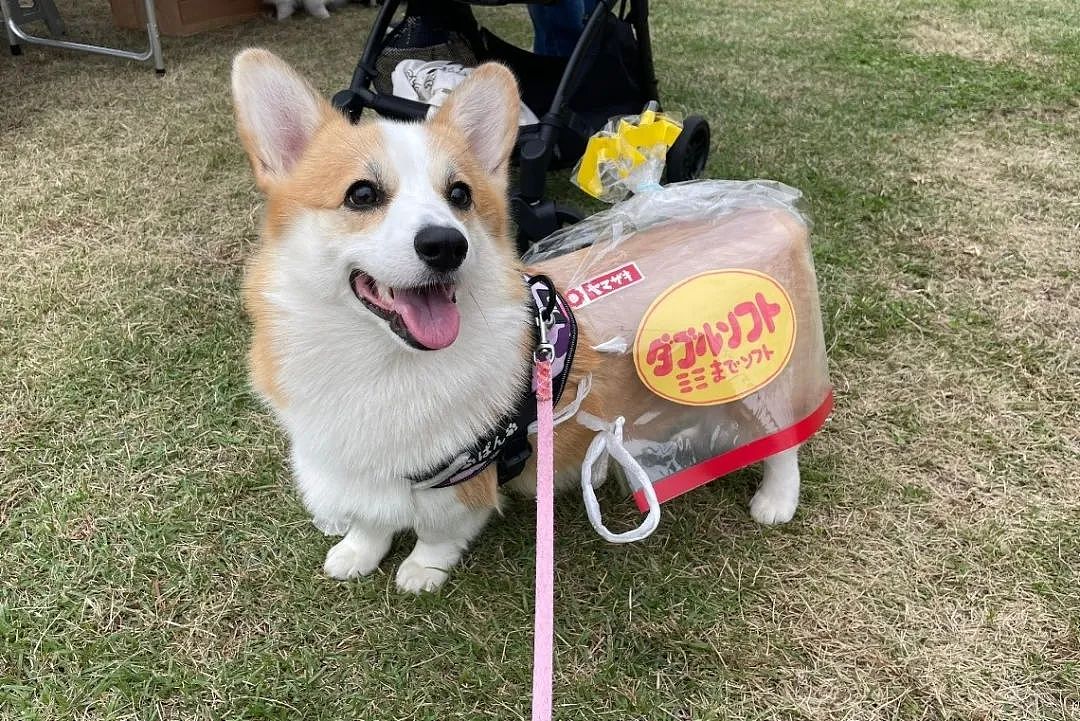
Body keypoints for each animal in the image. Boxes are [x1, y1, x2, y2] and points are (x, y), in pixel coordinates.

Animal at [230, 49, 803, 591]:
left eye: (459, 195)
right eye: (362, 194)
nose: (447, 245)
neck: (378, 361)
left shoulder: (459, 479)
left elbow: (439, 531)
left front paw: (421, 571)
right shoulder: (358, 466)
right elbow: (370, 520)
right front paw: (355, 552)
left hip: (749, 386)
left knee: (783, 441)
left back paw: (776, 500)